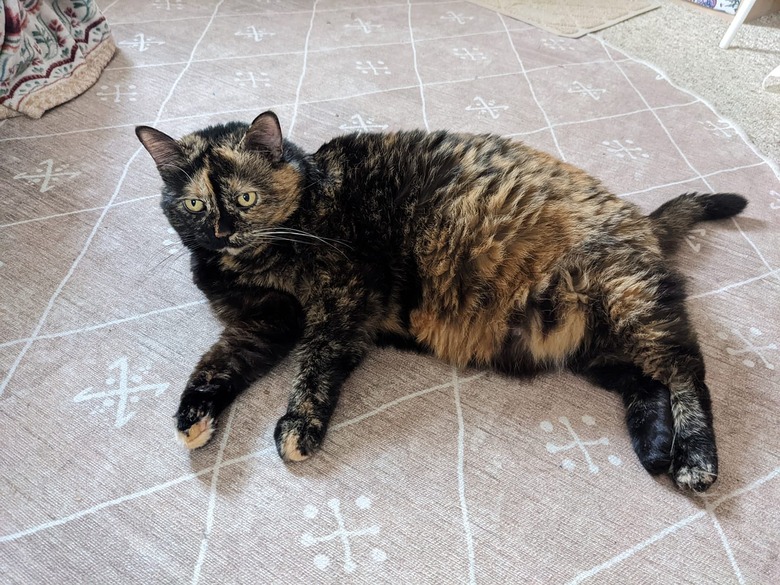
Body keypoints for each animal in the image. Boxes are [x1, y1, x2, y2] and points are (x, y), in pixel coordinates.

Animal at [137, 110, 748, 492]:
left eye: (245, 198)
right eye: (194, 204)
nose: (221, 233)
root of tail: (642, 219)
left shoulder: (343, 298)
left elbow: (316, 364)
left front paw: (298, 427)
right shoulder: (260, 325)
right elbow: (219, 364)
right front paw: (193, 417)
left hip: (627, 302)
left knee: (687, 374)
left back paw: (695, 462)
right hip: (590, 342)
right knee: (646, 385)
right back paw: (654, 450)